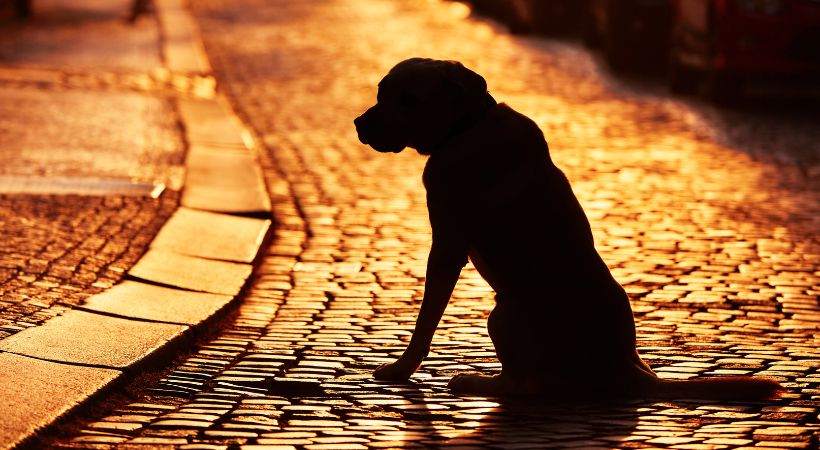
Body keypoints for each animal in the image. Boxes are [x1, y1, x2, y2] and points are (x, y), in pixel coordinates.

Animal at [354, 57, 780, 400]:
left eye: (409, 100)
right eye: (381, 91)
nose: (359, 124)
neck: (467, 126)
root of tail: (627, 369)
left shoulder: (446, 247)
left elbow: (425, 321)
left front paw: (401, 369)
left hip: (504, 312)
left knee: (525, 385)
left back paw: (474, 381)